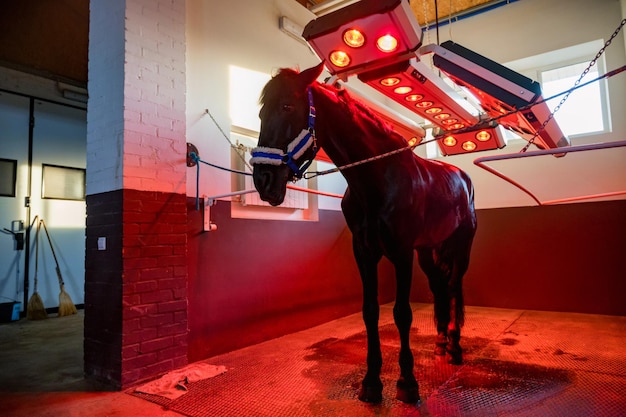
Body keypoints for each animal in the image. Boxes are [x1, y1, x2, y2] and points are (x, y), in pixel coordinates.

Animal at [249, 63, 472, 404]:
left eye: (287, 106)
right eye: (261, 113)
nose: (263, 180)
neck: (376, 180)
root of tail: (461, 176)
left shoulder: (401, 253)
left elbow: (402, 313)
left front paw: (407, 382)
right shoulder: (365, 252)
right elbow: (370, 312)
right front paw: (371, 381)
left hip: (461, 248)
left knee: (454, 286)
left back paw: (456, 346)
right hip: (427, 251)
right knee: (440, 289)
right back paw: (441, 343)